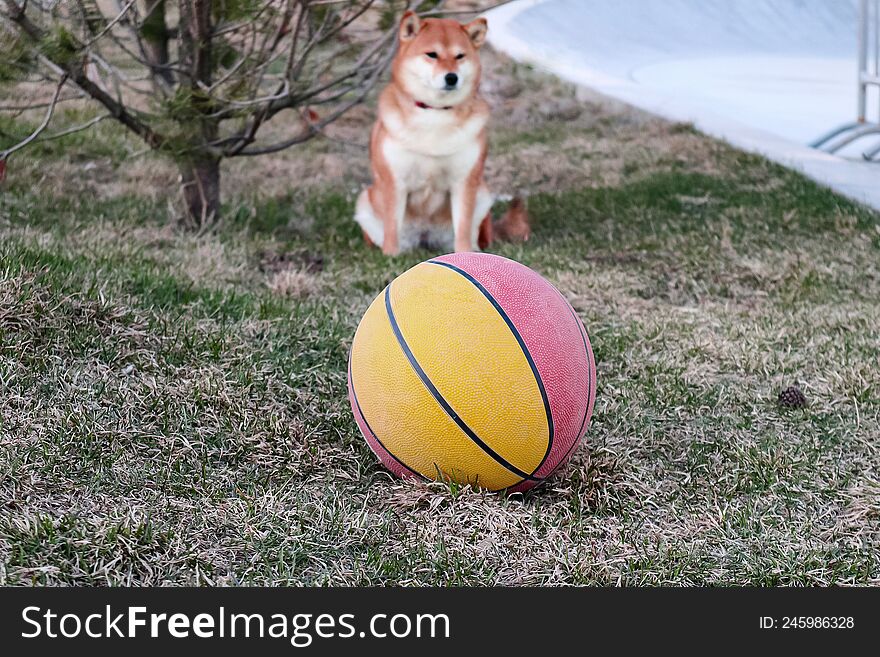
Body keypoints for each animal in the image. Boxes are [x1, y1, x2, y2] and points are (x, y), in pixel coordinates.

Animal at [354, 12, 524, 256]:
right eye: (432, 54)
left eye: (460, 56)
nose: (451, 77)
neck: (434, 114)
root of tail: (425, 236)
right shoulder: (395, 181)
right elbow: (392, 226)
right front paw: (391, 255)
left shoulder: (464, 181)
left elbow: (463, 226)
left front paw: (465, 254)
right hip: (366, 202)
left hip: (482, 195)